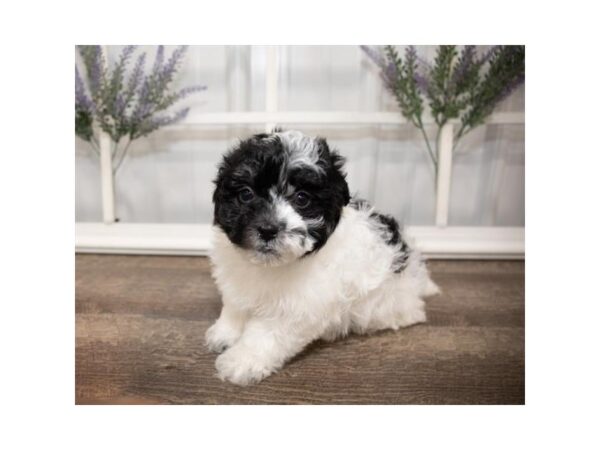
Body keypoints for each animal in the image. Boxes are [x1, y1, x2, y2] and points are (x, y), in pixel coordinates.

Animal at [205, 128, 436, 384]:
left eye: (302, 198)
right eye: (246, 194)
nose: (267, 229)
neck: (270, 266)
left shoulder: (297, 308)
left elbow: (266, 334)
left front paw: (242, 361)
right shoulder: (238, 280)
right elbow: (235, 305)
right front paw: (225, 333)